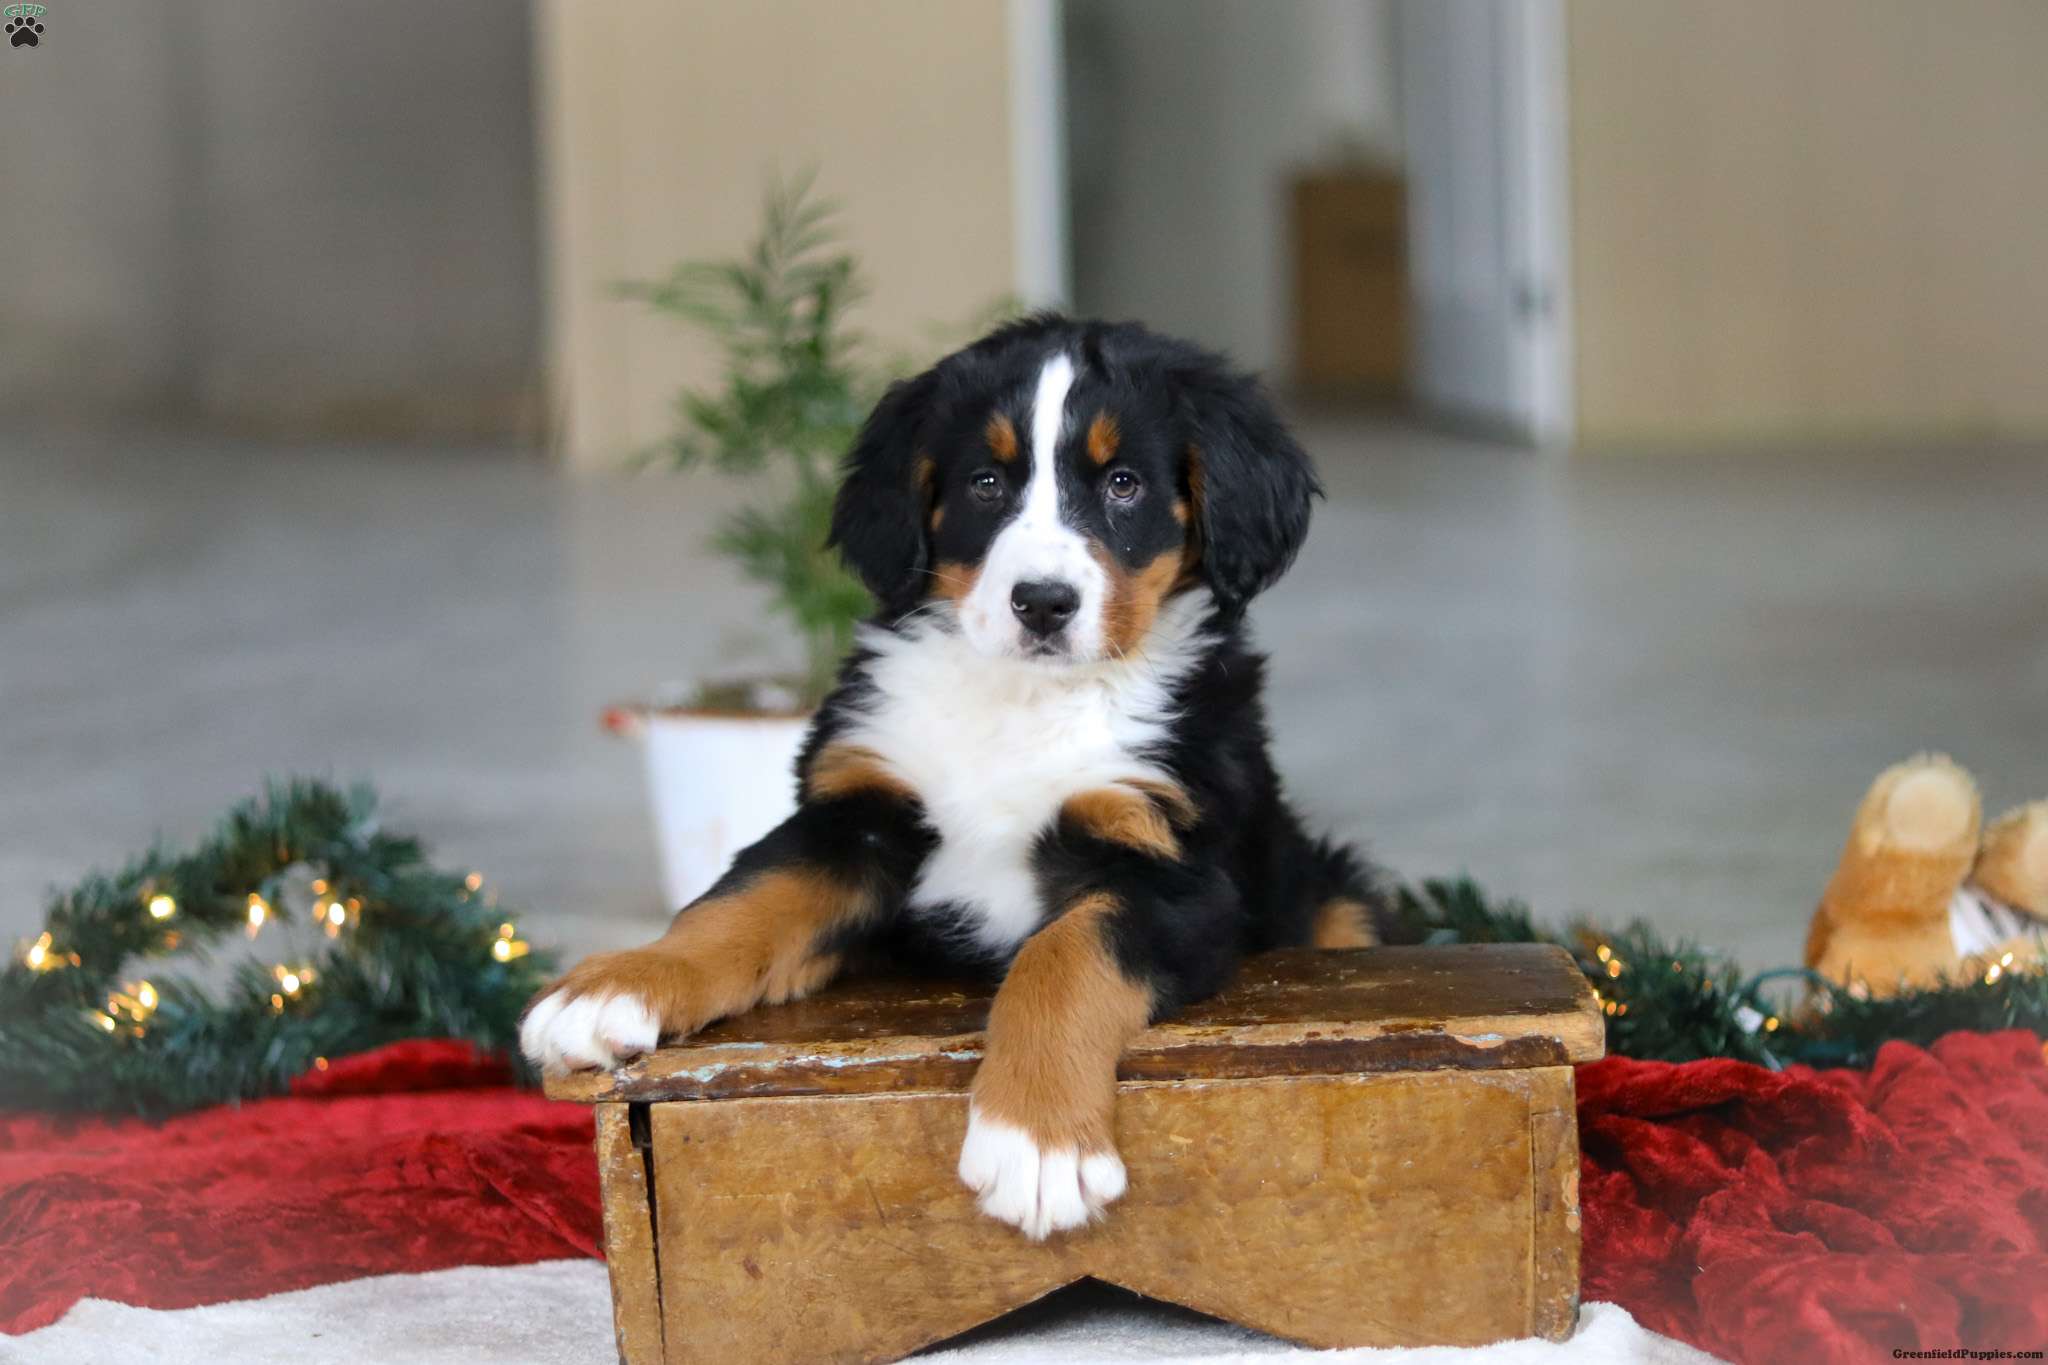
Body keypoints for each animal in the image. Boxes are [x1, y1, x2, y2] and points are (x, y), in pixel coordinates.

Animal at [522, 315, 1390, 1239]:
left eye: (1123, 483)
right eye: (985, 482)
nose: (1042, 601)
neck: (1023, 698)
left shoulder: (1171, 868)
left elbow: (1063, 956)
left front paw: (1037, 1141)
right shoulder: (856, 815)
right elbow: (738, 904)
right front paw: (618, 985)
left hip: (1336, 900)